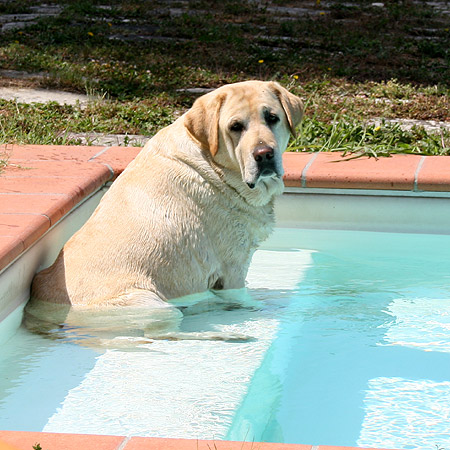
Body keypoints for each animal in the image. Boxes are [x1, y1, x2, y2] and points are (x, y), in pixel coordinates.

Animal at [27, 80, 302, 342]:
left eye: (272, 117)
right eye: (235, 126)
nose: (264, 154)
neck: (215, 166)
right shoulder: (233, 267)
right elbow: (244, 298)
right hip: (154, 305)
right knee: (163, 334)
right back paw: (226, 335)